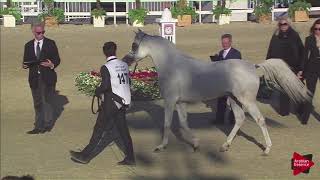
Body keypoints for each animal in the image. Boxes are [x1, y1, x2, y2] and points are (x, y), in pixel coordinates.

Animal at [123, 30, 312, 155]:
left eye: (134, 44)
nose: (126, 59)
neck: (172, 66)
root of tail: (253, 66)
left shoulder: (170, 101)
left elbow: (167, 124)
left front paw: (161, 147)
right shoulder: (180, 102)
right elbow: (183, 123)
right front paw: (196, 144)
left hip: (247, 101)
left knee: (260, 120)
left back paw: (266, 149)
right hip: (234, 99)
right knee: (240, 119)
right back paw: (225, 146)